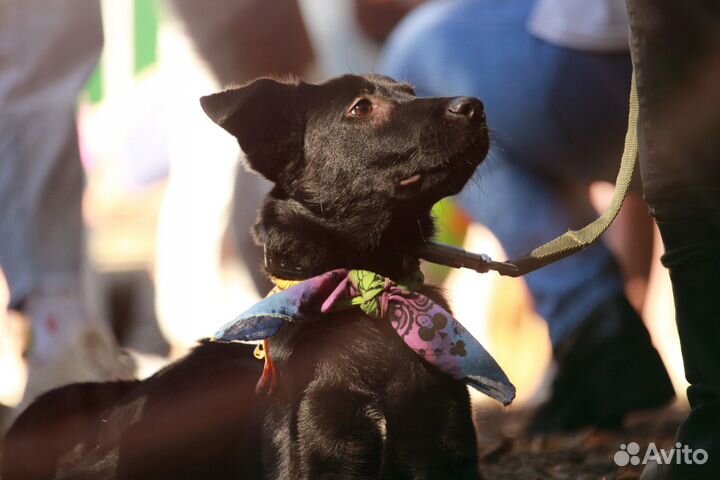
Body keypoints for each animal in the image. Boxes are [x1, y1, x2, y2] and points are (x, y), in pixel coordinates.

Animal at [2, 73, 504, 478]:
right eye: (361, 107)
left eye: (411, 93)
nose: (475, 105)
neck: (366, 294)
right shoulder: (321, 449)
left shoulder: (443, 447)